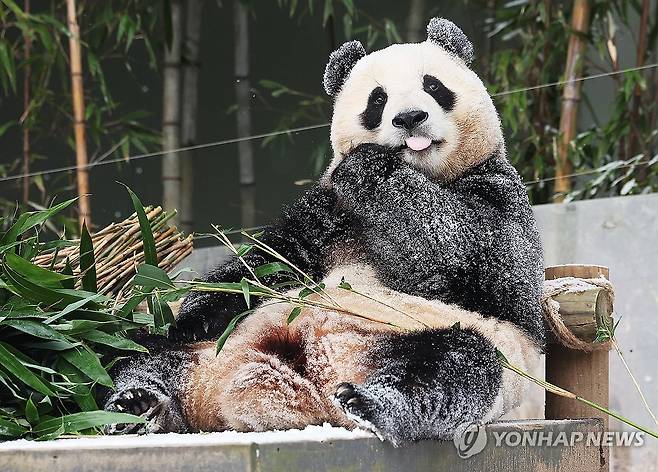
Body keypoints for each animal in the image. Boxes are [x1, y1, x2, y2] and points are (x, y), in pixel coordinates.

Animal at [104, 19, 544, 446]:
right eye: (378, 100)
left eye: (433, 86)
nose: (409, 118)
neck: (427, 173)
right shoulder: (326, 210)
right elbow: (270, 258)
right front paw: (197, 312)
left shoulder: (500, 194)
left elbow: (465, 255)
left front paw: (369, 166)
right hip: (206, 351)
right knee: (141, 355)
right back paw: (138, 406)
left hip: (447, 343)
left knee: (453, 367)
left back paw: (370, 404)